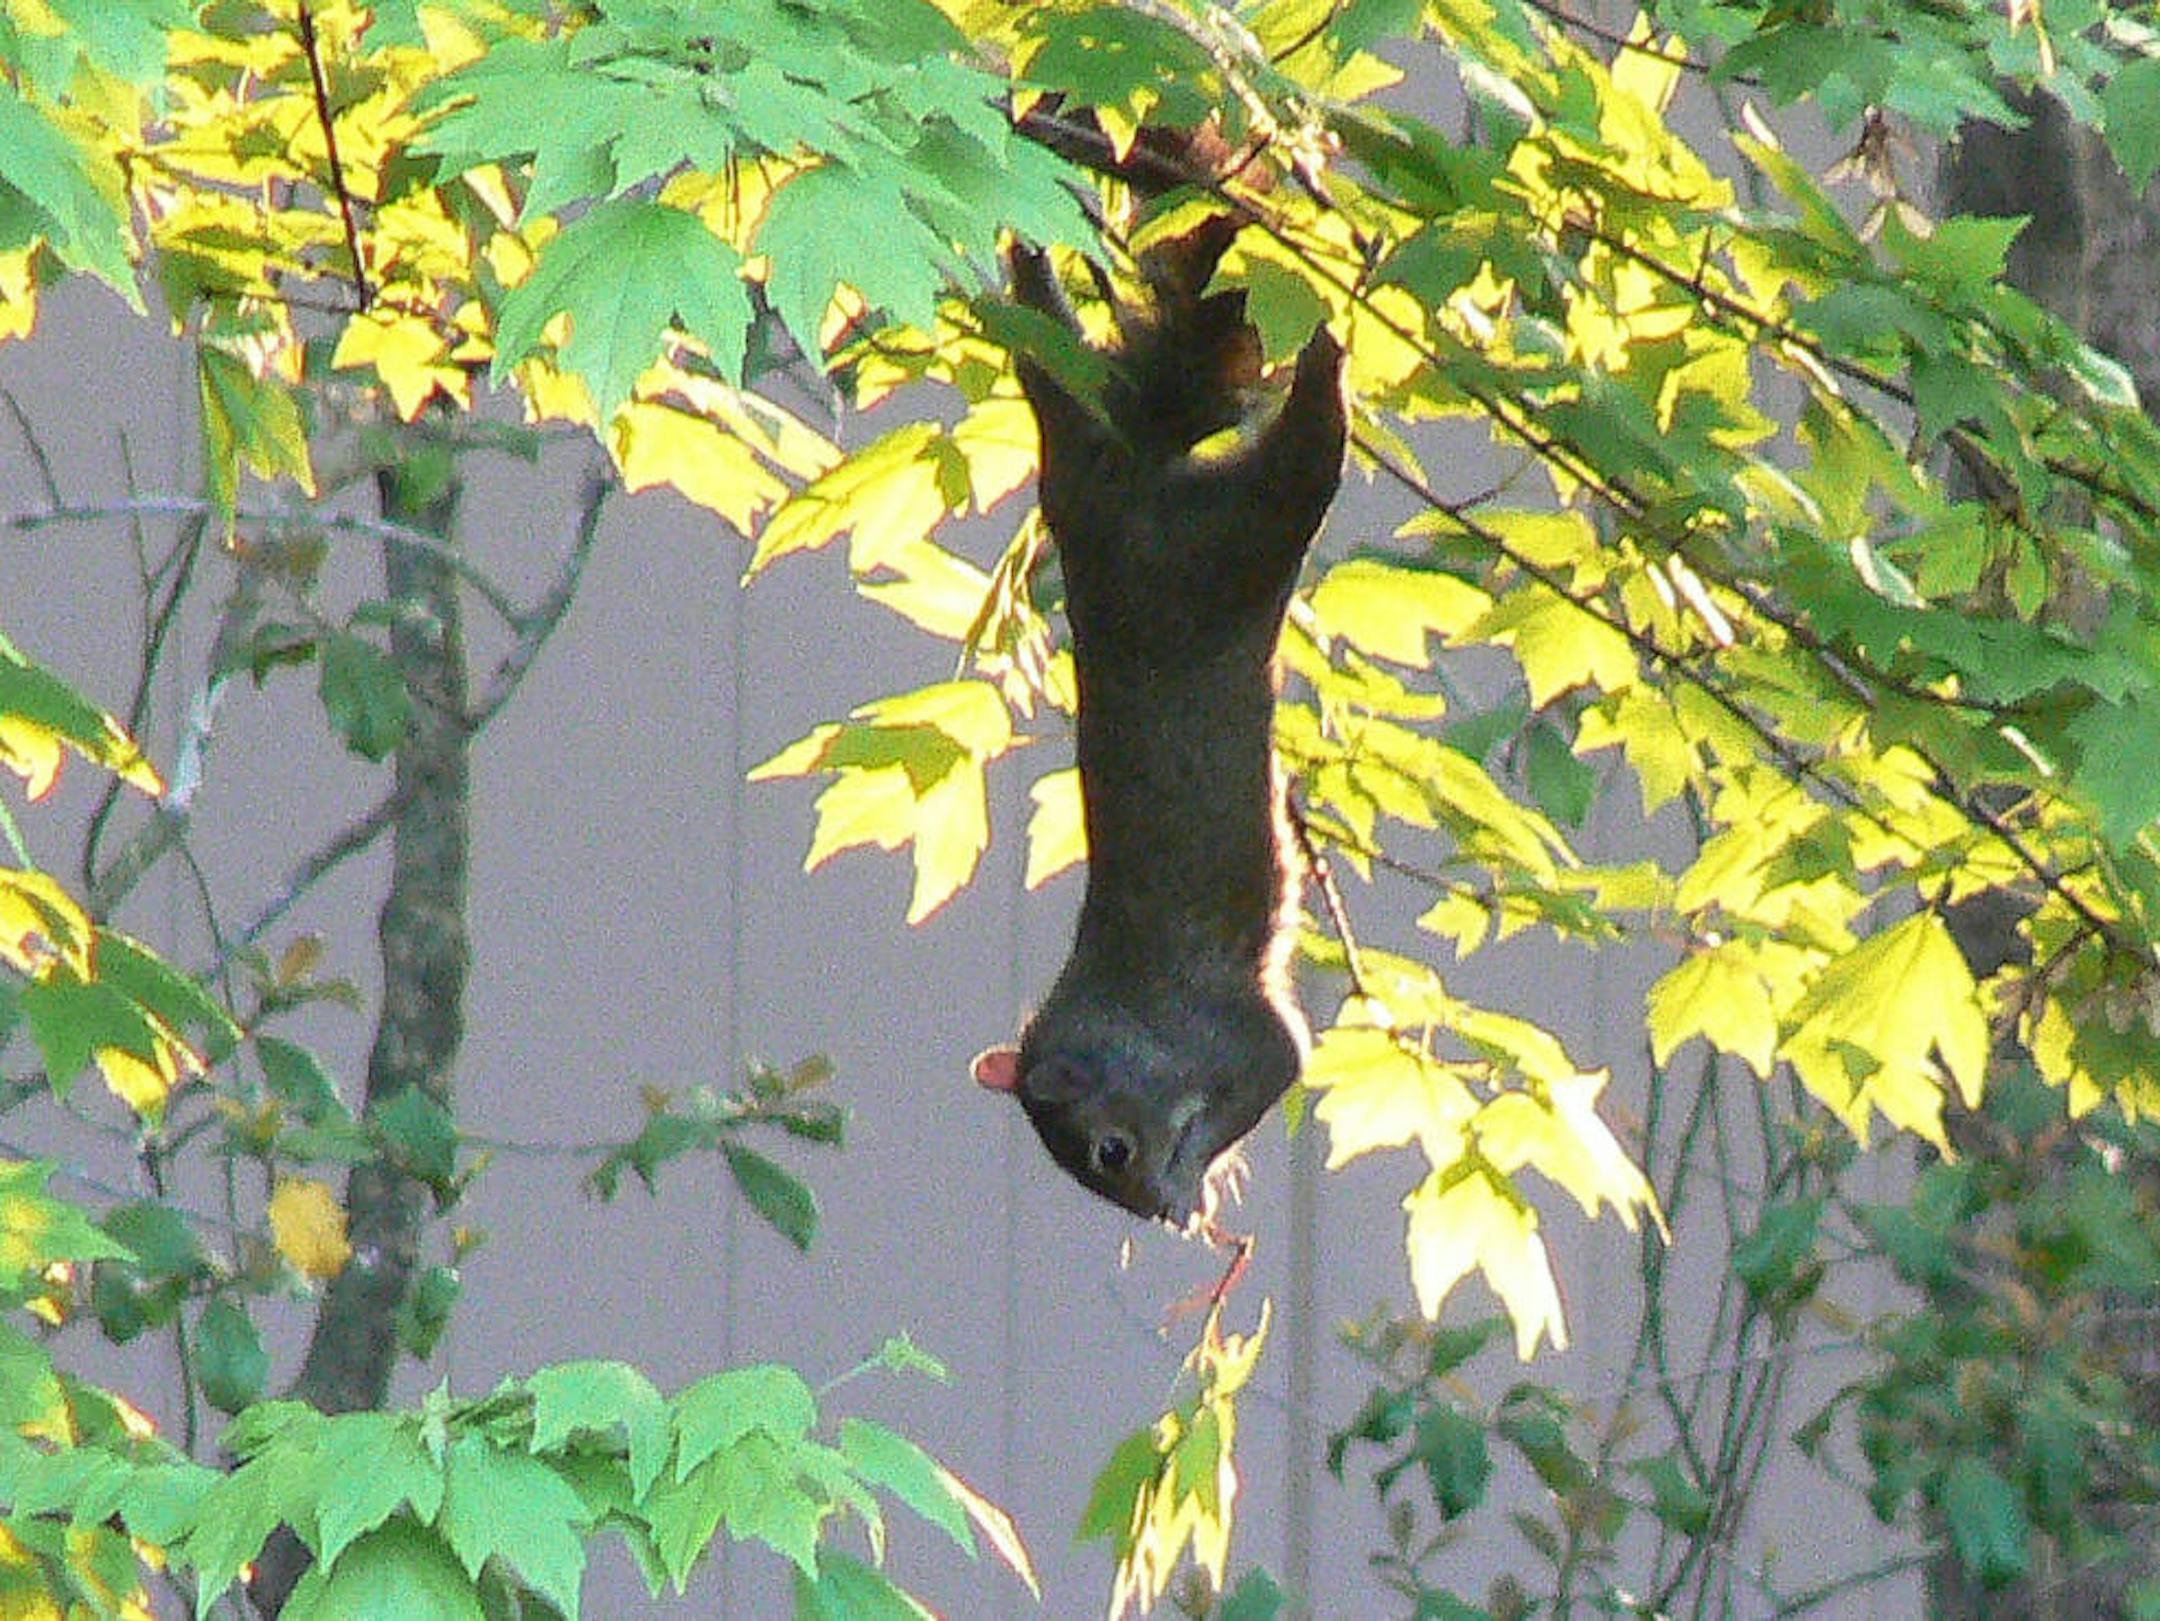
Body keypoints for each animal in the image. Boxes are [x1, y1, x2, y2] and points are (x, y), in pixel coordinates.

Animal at [973, 146, 1349, 1228]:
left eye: (1111, 1148)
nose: (1164, 1214)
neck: (1136, 1031)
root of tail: (1119, 488)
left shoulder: (1238, 1036)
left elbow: (1279, 1063)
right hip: (1083, 436)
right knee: (1044, 334)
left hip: (1238, 541)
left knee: (1313, 448)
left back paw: (1327, 345)